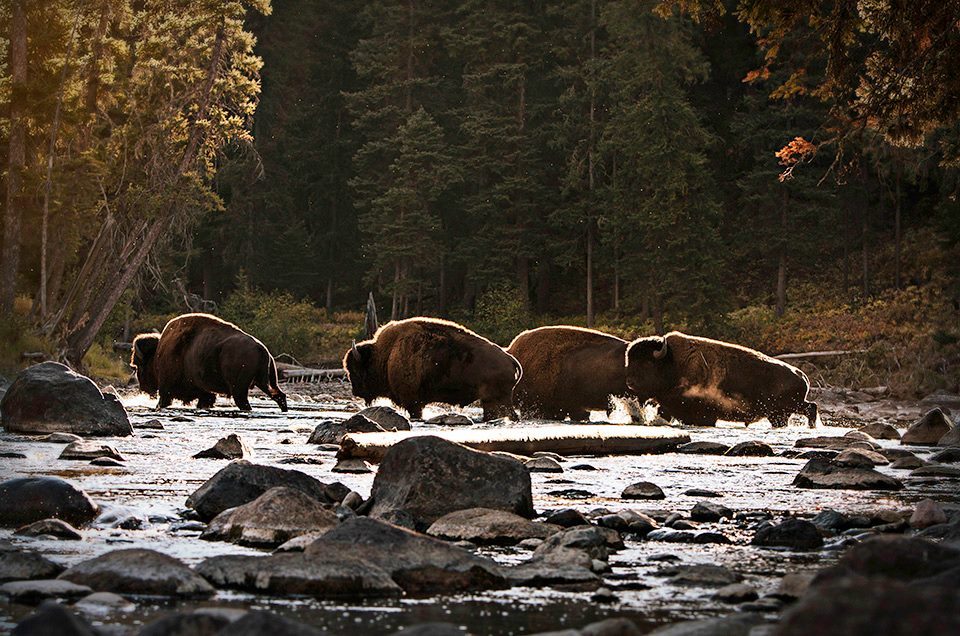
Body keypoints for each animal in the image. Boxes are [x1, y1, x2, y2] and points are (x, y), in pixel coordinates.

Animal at [131, 314, 288, 412]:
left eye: (138, 366)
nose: (143, 388)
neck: (157, 353)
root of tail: (262, 349)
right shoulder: (206, 394)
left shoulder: (166, 391)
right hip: (264, 382)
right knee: (279, 396)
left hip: (240, 390)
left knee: (246, 403)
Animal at [344, 316, 520, 420]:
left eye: (356, 370)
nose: (355, 391)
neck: (387, 354)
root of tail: (510, 359)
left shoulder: (413, 402)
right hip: (492, 401)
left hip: (496, 400)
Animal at [628, 330, 820, 430]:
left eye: (646, 363)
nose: (630, 382)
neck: (672, 363)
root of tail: (802, 376)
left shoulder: (702, 414)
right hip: (782, 412)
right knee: (809, 408)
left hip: (783, 410)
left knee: (811, 408)